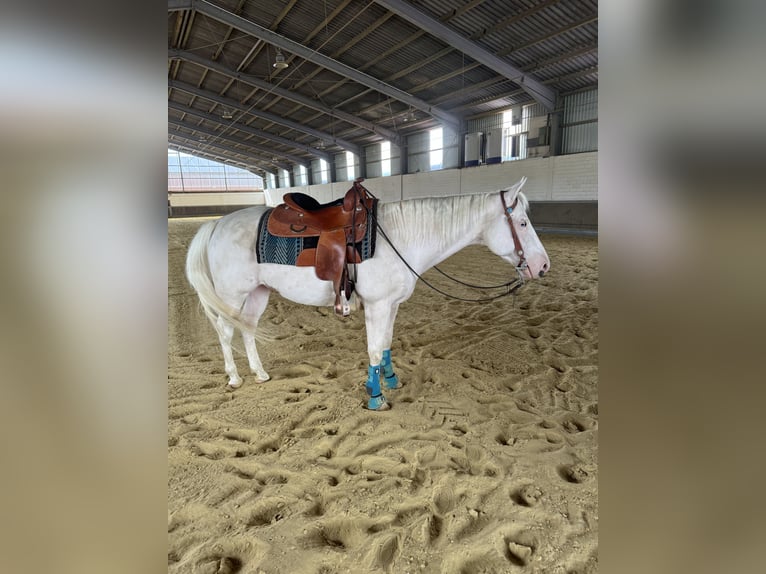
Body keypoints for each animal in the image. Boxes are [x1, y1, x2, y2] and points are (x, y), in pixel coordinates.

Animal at [186, 178, 552, 412]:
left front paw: (390, 380)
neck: (401, 237)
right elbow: (375, 349)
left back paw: (260, 374)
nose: (543, 265)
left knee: (247, 329)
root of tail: (216, 225)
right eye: (521, 223)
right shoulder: (377, 305)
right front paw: (376, 397)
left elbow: (386, 344)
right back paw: (234, 378)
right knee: (226, 332)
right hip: (232, 294)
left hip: (258, 293)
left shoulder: (392, 305)